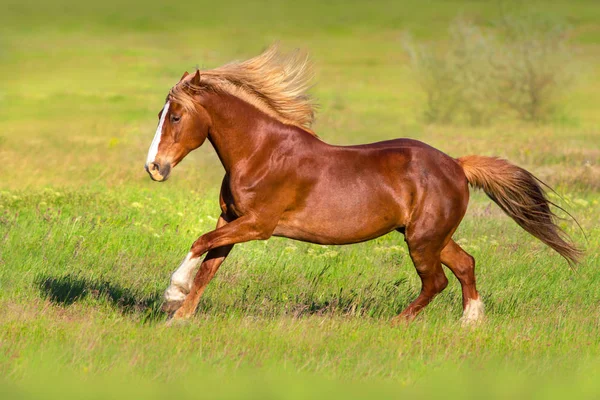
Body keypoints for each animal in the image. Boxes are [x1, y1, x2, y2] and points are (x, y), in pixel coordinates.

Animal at [143, 45, 580, 324]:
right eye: (160, 114)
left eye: (176, 116)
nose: (154, 167)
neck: (261, 153)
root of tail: (457, 166)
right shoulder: (230, 220)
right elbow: (209, 266)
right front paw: (180, 316)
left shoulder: (258, 225)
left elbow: (199, 243)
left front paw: (171, 296)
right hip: (431, 235)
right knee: (465, 265)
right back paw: (470, 324)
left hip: (422, 240)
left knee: (437, 280)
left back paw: (397, 324)